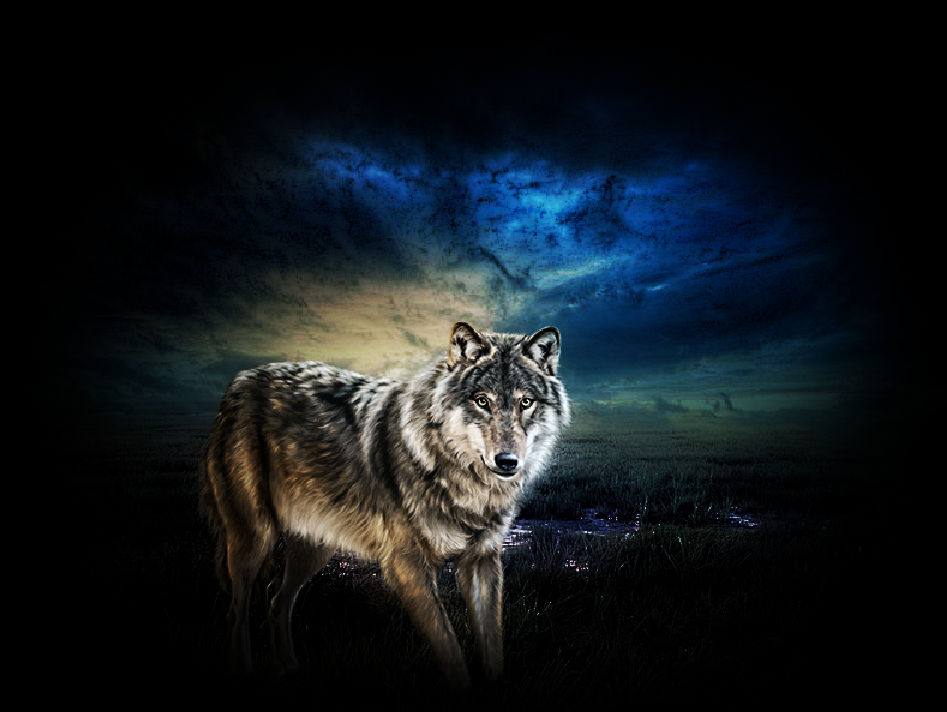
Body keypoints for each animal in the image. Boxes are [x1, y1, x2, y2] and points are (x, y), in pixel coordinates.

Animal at [199, 322, 569, 687]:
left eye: (526, 402)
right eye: (482, 401)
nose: (507, 461)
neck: (464, 483)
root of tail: (241, 379)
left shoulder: (482, 560)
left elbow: (492, 646)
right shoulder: (407, 565)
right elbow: (451, 650)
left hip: (315, 547)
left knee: (276, 597)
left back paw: (289, 669)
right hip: (254, 538)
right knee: (236, 610)